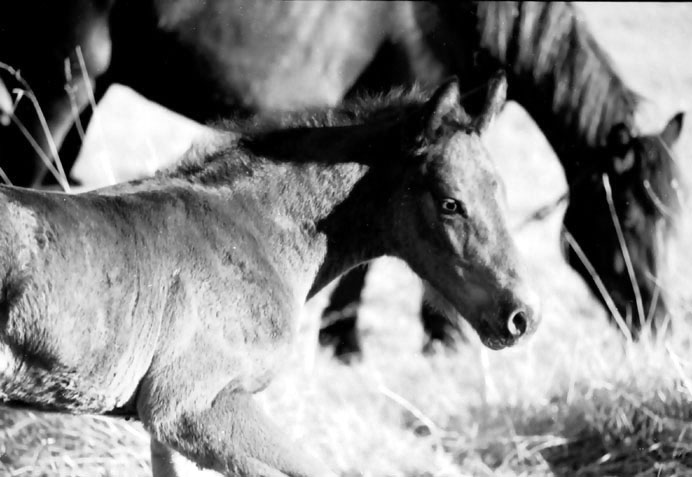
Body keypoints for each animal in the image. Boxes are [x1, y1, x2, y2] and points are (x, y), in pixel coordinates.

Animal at [0, 76, 540, 474]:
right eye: (450, 203)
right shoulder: (190, 406)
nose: (521, 316)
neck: (255, 229)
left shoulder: (165, 426)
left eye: (503, 194)